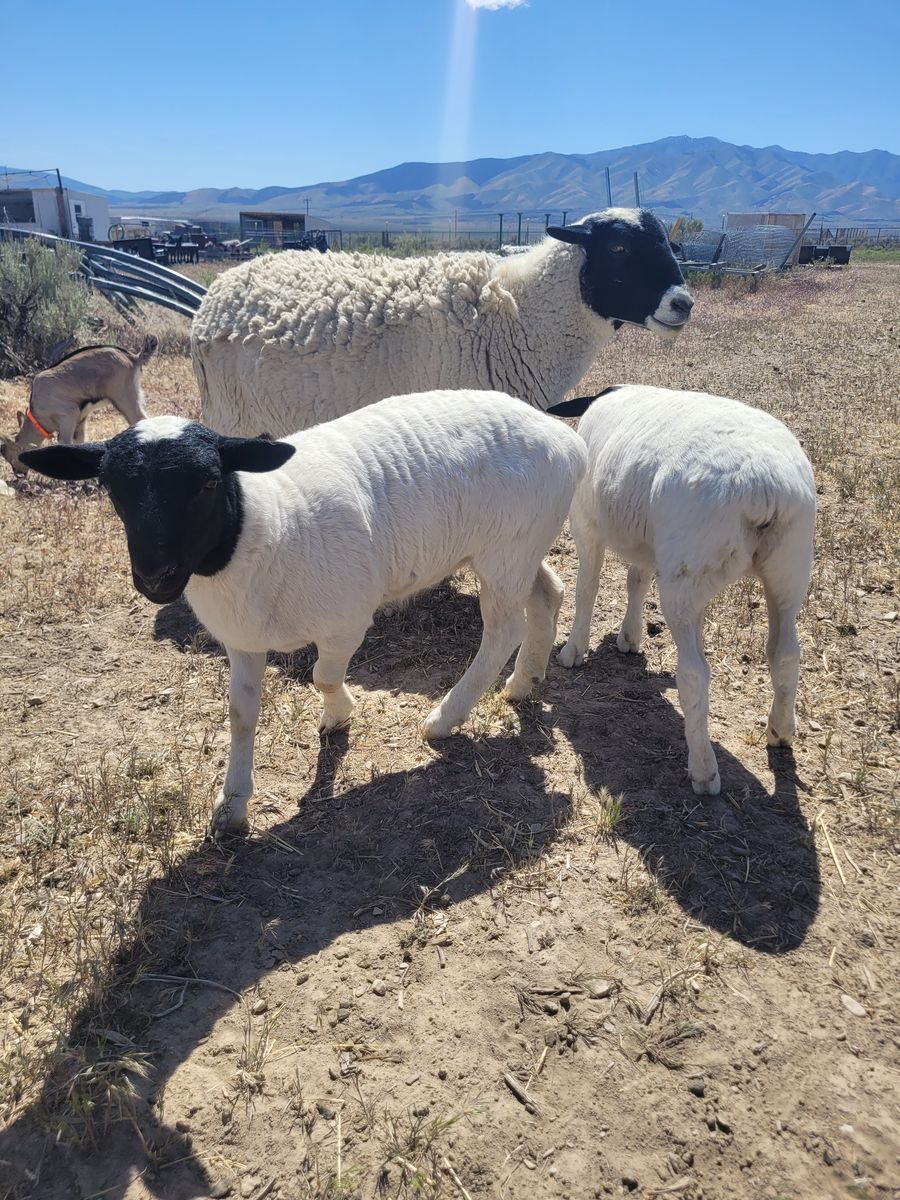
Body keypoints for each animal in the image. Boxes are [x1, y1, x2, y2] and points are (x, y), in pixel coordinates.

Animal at [1, 336, 158, 477]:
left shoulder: (69, 415)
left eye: (9, 454)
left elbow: (64, 444)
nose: (18, 473)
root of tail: (133, 357)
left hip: (125, 398)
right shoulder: (80, 420)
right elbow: (80, 443)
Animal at [21, 389, 586, 831]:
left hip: (504, 550)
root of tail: (568, 440)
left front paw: (340, 716)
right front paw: (232, 804)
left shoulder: (345, 622)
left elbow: (323, 676)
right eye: (110, 488)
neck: (265, 524)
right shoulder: (241, 639)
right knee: (548, 593)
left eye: (209, 482)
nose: (154, 577)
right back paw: (524, 682)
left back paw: (446, 717)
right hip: (521, 548)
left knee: (504, 628)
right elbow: (241, 713)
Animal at [191, 208, 693, 437]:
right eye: (619, 248)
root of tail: (214, 296)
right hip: (232, 414)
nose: (683, 303)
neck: (519, 315)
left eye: (669, 245)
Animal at [557, 384, 816, 795]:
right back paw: (780, 730)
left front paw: (573, 649)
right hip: (790, 565)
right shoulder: (648, 543)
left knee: (695, 673)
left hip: (687, 576)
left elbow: (588, 587)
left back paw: (704, 770)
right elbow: (636, 581)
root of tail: (765, 487)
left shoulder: (586, 523)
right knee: (786, 653)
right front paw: (629, 638)